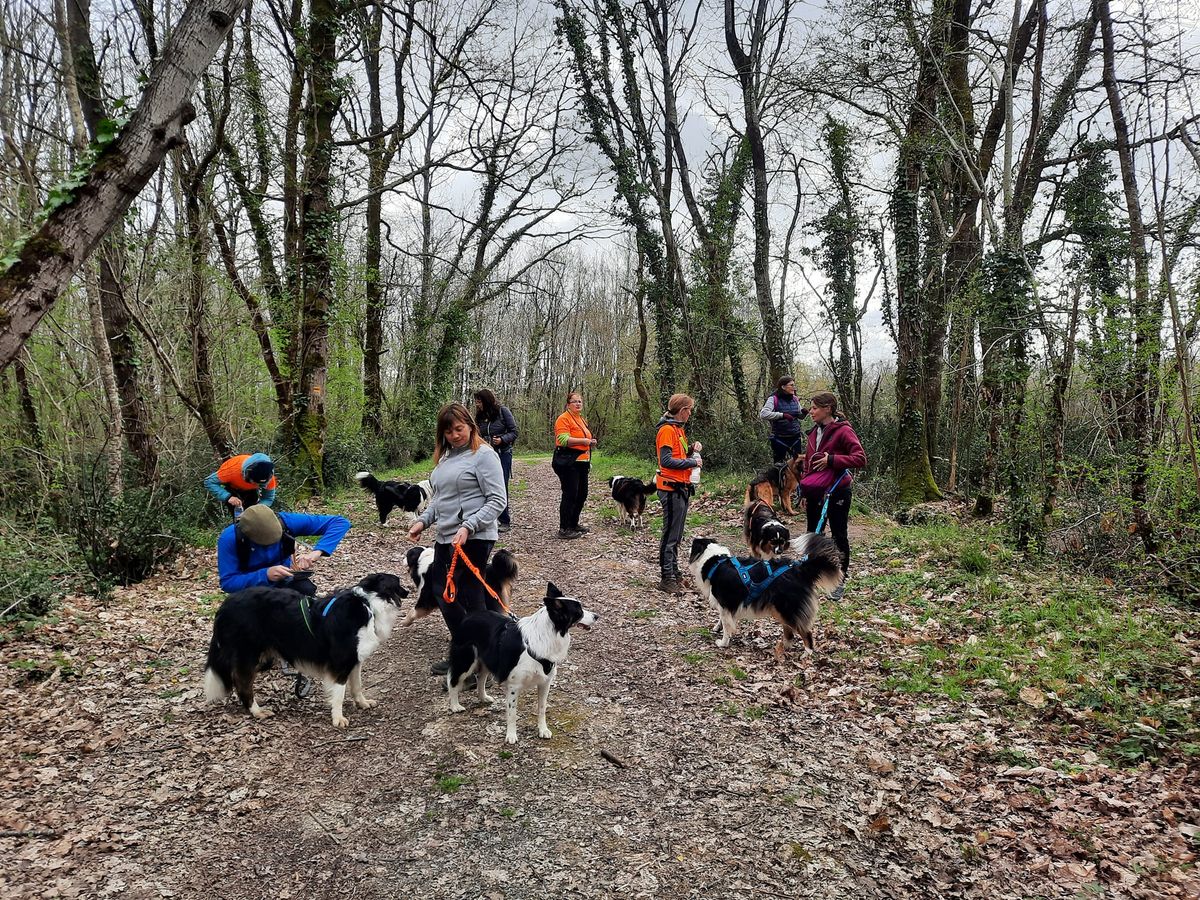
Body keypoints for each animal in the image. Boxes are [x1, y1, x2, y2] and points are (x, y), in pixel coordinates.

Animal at [205, 573, 408, 729]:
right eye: (397, 583)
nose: (408, 591)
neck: (368, 604)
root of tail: (224, 606)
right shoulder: (341, 663)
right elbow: (339, 694)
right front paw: (338, 718)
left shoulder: (355, 660)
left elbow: (357, 685)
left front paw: (363, 703)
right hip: (249, 654)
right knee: (242, 683)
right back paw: (256, 711)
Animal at [448, 585, 597, 748]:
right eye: (579, 611)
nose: (597, 616)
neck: (545, 637)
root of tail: (468, 616)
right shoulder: (514, 685)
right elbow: (512, 713)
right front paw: (511, 736)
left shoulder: (545, 682)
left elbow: (542, 708)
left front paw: (543, 730)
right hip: (465, 661)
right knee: (453, 681)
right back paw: (455, 706)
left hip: (488, 659)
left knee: (481, 678)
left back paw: (483, 697)